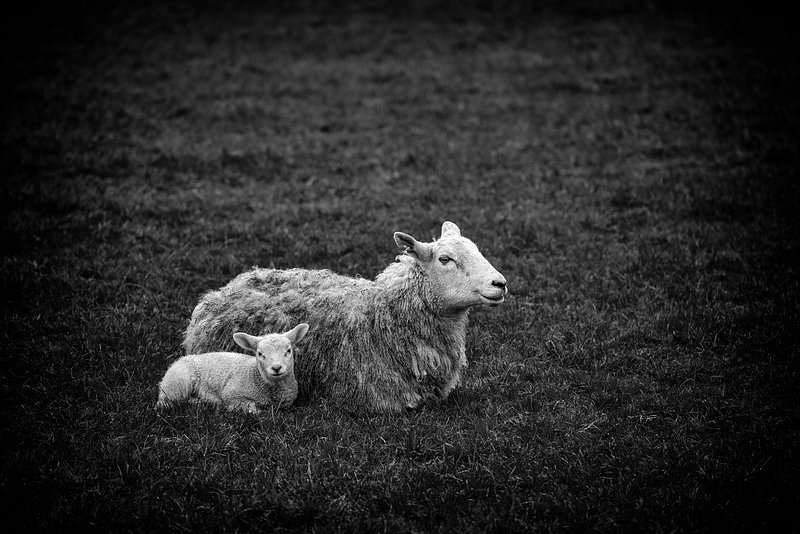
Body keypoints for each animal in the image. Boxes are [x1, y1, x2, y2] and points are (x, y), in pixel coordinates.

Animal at [157, 323, 309, 413]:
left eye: (288, 350)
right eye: (260, 354)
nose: (276, 368)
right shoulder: (232, 393)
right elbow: (250, 409)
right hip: (177, 383)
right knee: (167, 402)